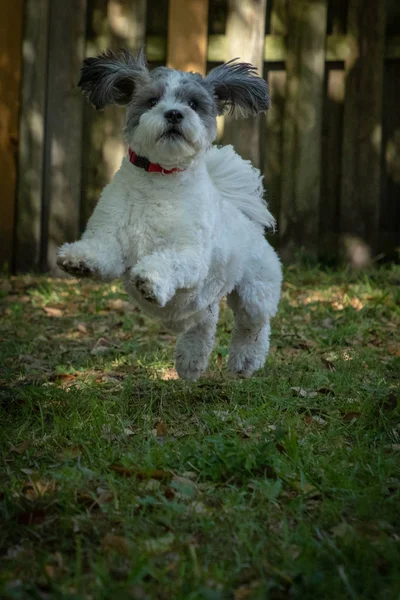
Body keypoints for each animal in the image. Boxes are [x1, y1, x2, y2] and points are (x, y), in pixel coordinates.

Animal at [57, 50, 282, 380]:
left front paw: (149, 279)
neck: (159, 179)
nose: (174, 113)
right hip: (202, 306)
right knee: (204, 322)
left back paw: (245, 361)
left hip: (255, 290)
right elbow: (101, 252)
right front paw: (77, 260)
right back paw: (191, 361)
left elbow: (167, 261)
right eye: (152, 101)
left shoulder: (190, 255)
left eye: (193, 104)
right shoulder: (111, 238)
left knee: (253, 326)